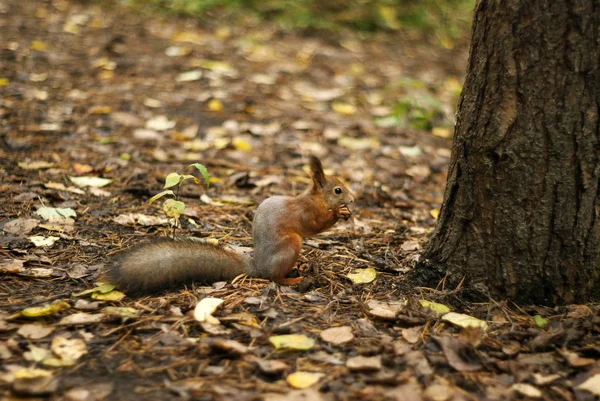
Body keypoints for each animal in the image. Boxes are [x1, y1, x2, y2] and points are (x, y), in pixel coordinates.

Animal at [103, 157, 354, 294]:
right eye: (337, 190)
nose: (352, 199)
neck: (314, 199)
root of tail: (257, 266)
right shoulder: (307, 213)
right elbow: (316, 225)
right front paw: (338, 213)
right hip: (291, 244)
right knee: (273, 277)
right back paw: (292, 279)